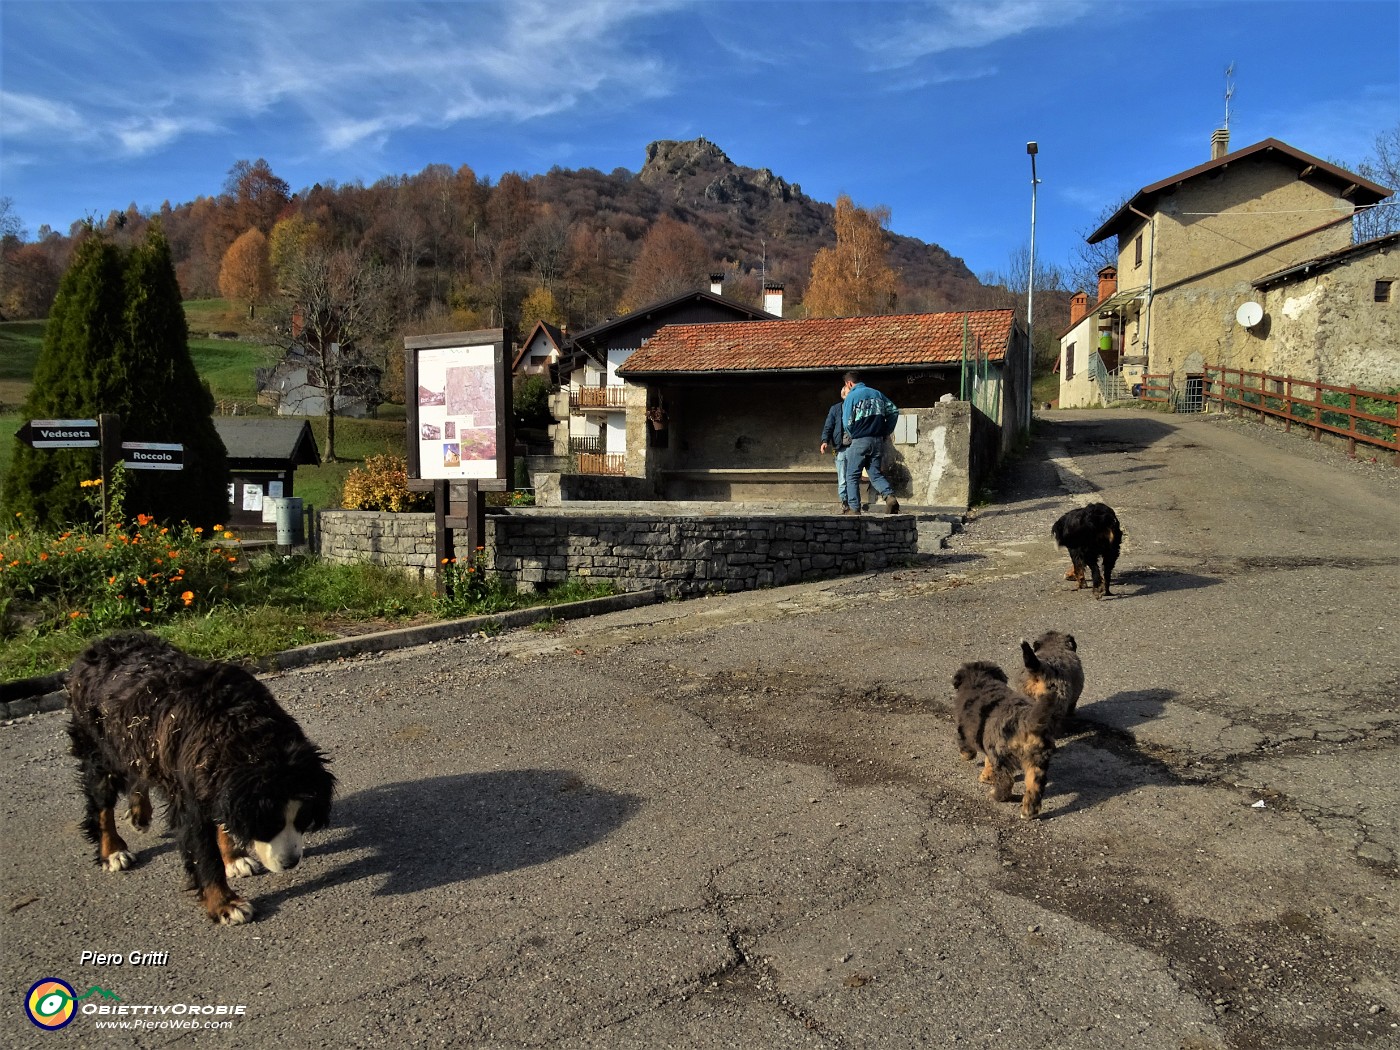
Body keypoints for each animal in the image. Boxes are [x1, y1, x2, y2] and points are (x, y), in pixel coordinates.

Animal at [64, 632, 334, 918]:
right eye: (267, 824)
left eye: (302, 818)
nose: (291, 862)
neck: (242, 729)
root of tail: (99, 645)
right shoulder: (191, 798)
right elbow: (204, 854)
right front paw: (226, 903)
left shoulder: (215, 782)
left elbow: (224, 823)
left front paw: (234, 859)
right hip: (99, 748)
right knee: (101, 804)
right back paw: (113, 851)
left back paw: (140, 813)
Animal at [957, 660, 1052, 817]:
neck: (982, 680)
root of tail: (1024, 720)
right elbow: (988, 762)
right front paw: (986, 776)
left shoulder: (965, 729)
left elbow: (965, 745)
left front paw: (967, 757)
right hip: (1037, 760)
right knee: (1034, 786)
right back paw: (1028, 812)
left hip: (1002, 754)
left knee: (1006, 781)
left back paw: (996, 795)